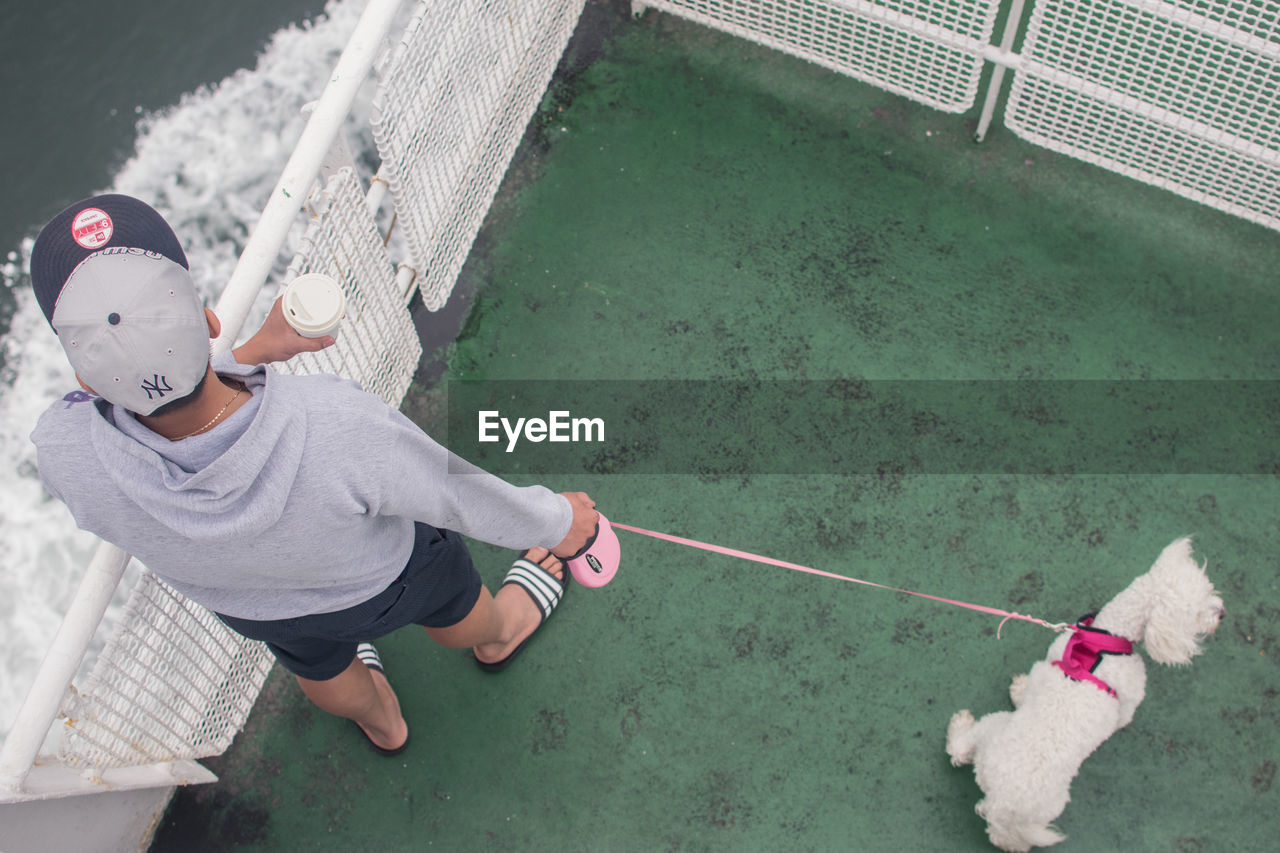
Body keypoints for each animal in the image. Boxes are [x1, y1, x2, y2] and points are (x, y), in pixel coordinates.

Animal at [947, 535, 1223, 845]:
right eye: (1196, 614)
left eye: (1208, 590)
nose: (1222, 613)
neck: (1107, 638)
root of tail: (999, 802)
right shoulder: (1129, 700)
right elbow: (1123, 717)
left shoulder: (1050, 659)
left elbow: (1029, 686)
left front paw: (1019, 690)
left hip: (993, 730)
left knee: (960, 748)